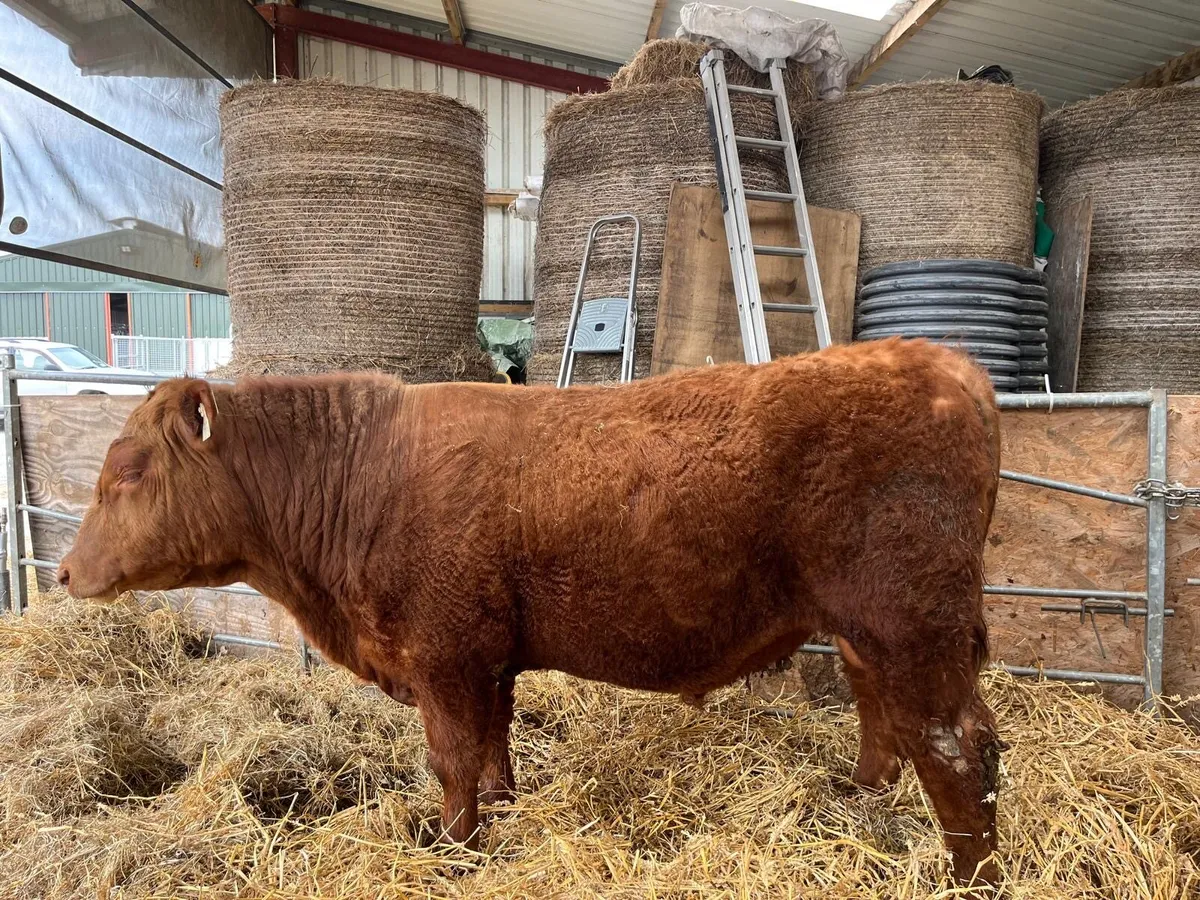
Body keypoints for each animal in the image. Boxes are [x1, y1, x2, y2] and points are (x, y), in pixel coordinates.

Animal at [58, 338, 1004, 887]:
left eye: (130, 471)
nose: (64, 571)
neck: (363, 475)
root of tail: (941, 363)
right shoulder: (488, 659)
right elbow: (494, 749)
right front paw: (504, 816)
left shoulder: (443, 658)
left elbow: (451, 760)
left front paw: (455, 851)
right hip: (870, 630)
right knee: (884, 715)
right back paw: (860, 798)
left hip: (910, 621)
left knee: (957, 743)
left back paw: (970, 874)